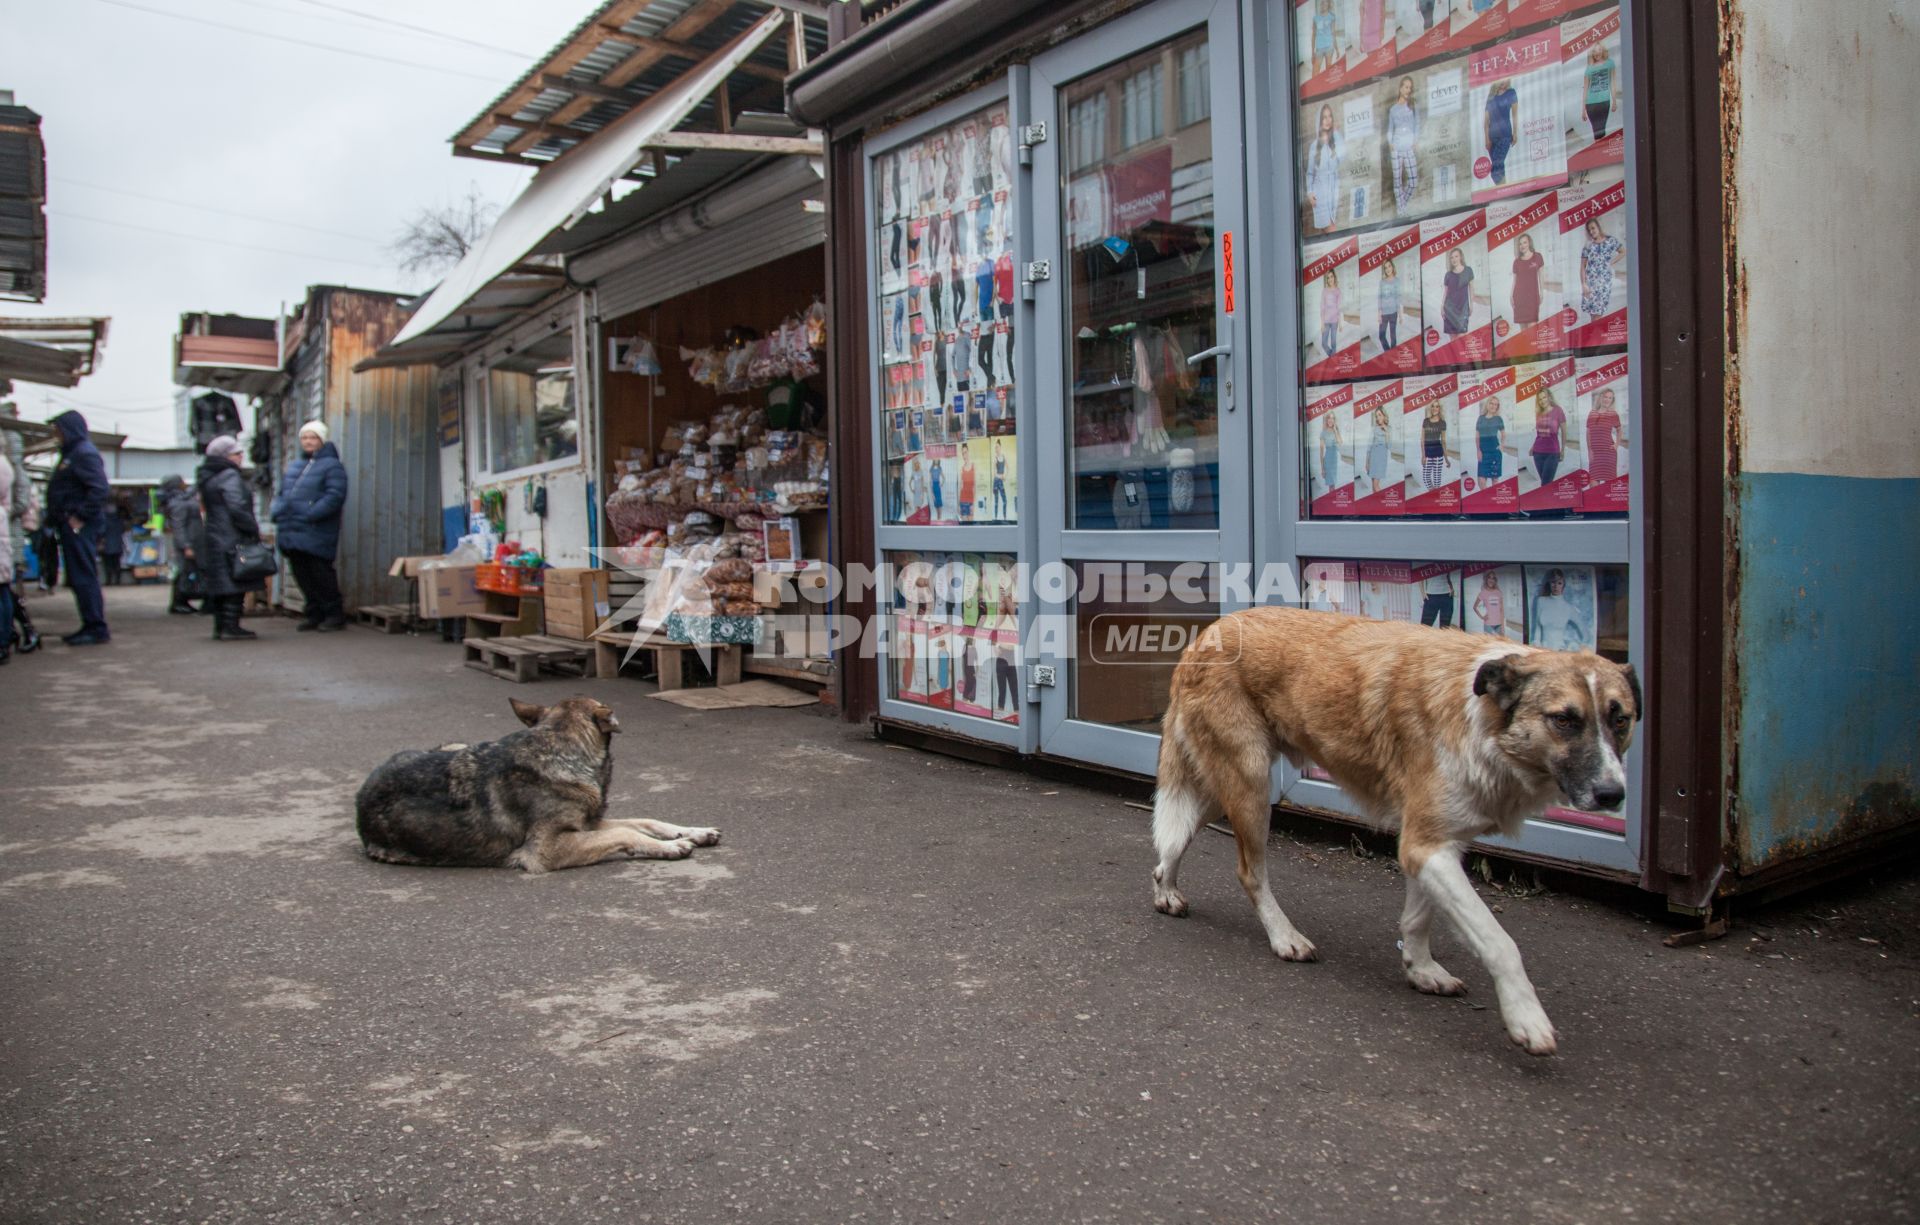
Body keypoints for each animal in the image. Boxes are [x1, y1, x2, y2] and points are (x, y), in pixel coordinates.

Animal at [1144, 610, 1643, 1059]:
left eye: (1621, 719)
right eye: (1565, 720)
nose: (1613, 794)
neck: (1482, 718)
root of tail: (1209, 632)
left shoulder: (1434, 843)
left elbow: (1419, 917)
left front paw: (1421, 969)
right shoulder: (1425, 846)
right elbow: (1499, 941)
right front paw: (1527, 1017)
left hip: (1223, 787)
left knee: (1175, 837)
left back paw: (1166, 889)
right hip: (1247, 785)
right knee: (1250, 872)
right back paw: (1284, 937)